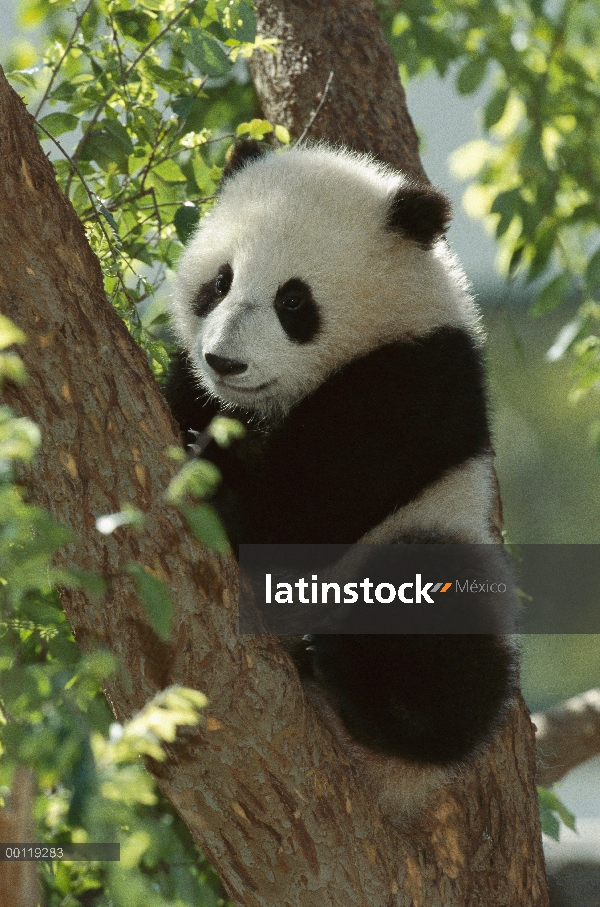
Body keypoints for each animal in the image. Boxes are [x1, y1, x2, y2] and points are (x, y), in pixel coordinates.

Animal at [166, 138, 516, 828]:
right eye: (220, 282)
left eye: (293, 301)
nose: (224, 361)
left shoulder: (418, 377)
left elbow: (313, 507)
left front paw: (221, 485)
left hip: (435, 542)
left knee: (432, 610)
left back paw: (356, 685)